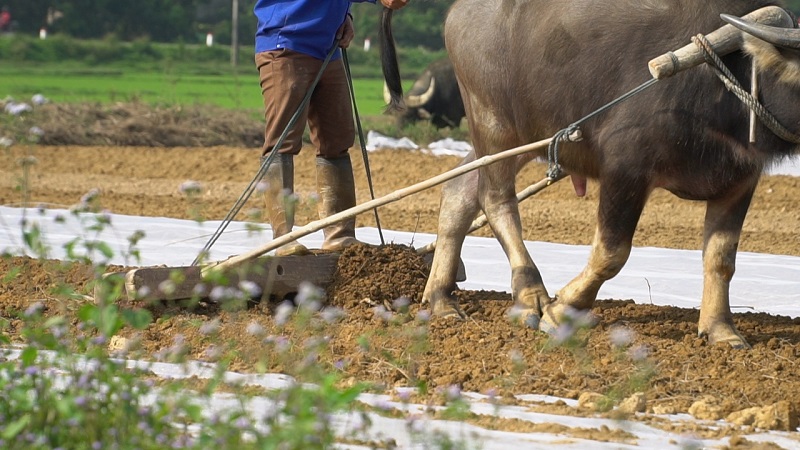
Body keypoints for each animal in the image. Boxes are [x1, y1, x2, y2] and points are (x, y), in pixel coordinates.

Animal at [382, 0, 800, 348]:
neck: (724, 81)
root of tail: (458, 12)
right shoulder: (625, 168)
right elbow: (611, 253)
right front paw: (561, 309)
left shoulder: (739, 182)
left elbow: (721, 258)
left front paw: (721, 330)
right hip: (492, 123)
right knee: (496, 199)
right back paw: (530, 294)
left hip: (525, 137)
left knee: (460, 189)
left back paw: (440, 298)